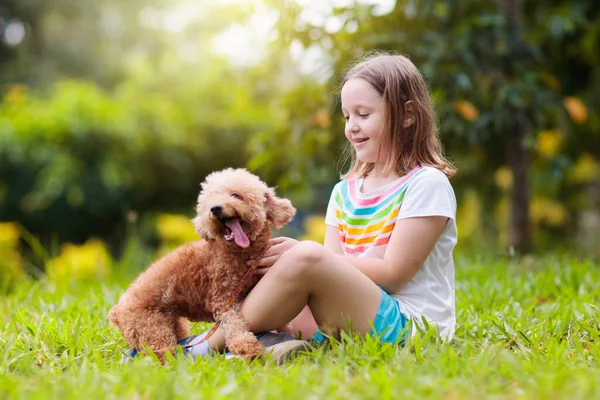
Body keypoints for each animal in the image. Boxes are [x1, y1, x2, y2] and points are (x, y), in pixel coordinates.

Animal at [109, 167, 296, 360]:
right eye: (210, 202)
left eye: (236, 195)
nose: (215, 209)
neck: (237, 253)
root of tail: (118, 310)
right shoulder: (224, 299)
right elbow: (234, 324)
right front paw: (247, 347)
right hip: (153, 330)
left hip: (172, 324)